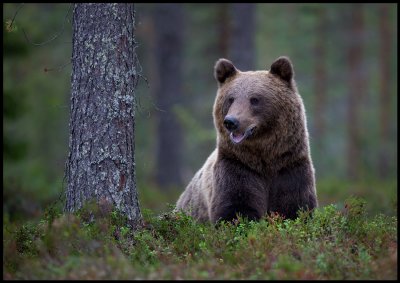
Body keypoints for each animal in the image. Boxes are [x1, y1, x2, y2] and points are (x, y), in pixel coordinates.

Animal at [175, 56, 318, 224]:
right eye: (230, 99)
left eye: (255, 99)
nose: (231, 121)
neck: (266, 157)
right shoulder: (238, 167)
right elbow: (236, 210)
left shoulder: (290, 167)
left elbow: (296, 208)